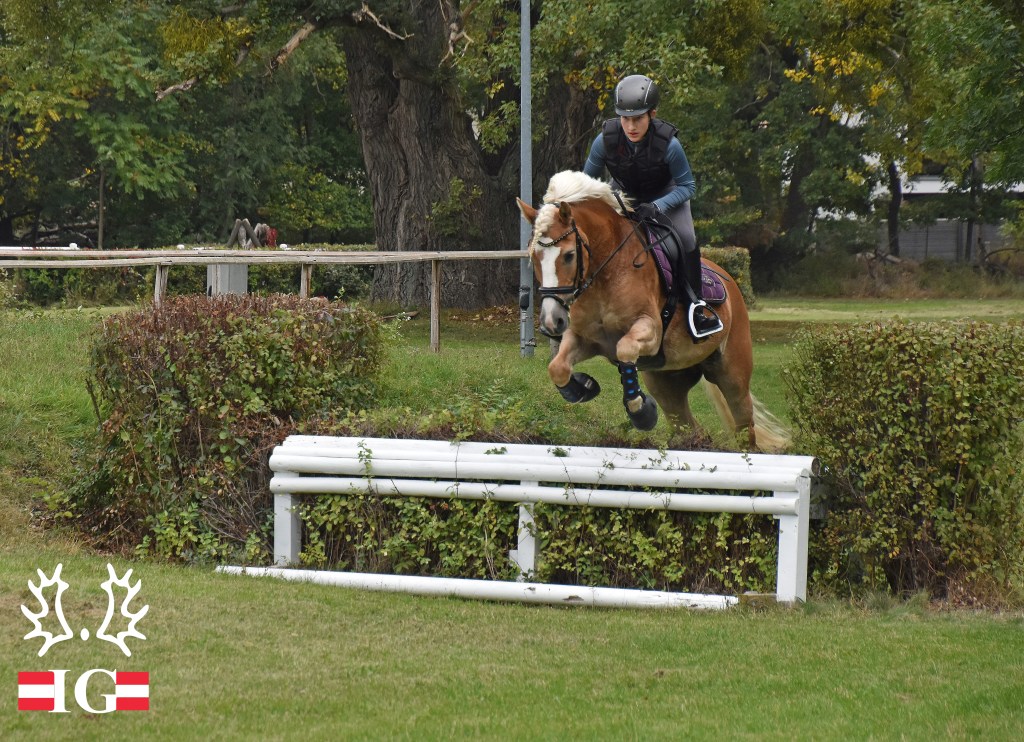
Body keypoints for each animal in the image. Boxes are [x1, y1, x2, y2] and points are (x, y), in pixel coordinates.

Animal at [517, 170, 789, 451]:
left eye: (570, 255)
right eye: (533, 257)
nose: (552, 322)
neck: (606, 272)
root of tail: (730, 281)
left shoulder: (651, 330)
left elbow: (625, 348)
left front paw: (641, 412)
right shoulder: (584, 339)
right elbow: (557, 367)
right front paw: (583, 387)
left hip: (732, 374)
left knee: (744, 427)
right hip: (666, 382)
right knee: (688, 425)